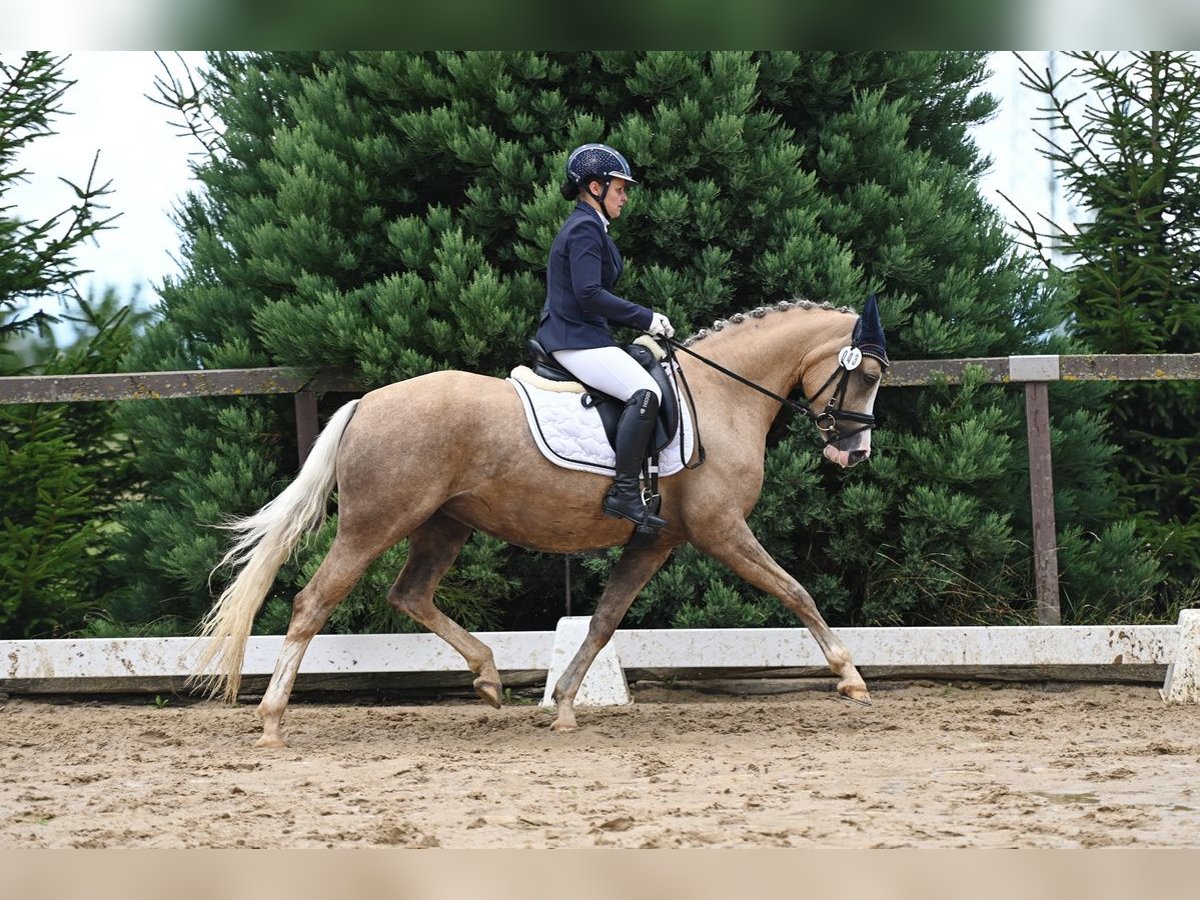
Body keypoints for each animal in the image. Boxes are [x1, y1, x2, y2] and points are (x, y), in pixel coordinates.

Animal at [194, 296, 888, 747]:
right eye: (868, 375)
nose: (854, 454)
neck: (721, 397)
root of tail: (365, 402)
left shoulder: (655, 541)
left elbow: (604, 621)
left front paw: (564, 704)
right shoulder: (720, 531)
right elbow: (795, 591)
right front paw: (851, 677)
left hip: (443, 525)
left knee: (409, 593)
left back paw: (488, 677)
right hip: (375, 524)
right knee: (315, 601)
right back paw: (273, 720)